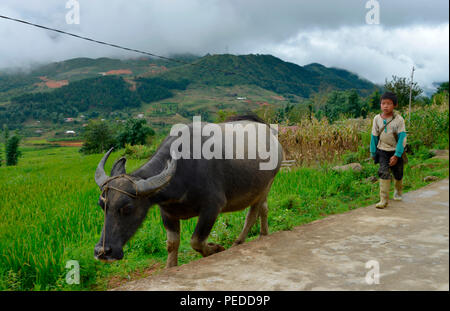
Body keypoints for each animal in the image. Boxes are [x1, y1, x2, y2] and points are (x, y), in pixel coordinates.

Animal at [93, 116, 284, 266]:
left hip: (266, 185)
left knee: (252, 214)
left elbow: (196, 241)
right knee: (264, 209)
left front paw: (216, 248)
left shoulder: (212, 207)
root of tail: (274, 138)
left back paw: (238, 242)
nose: (103, 251)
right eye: (102, 205)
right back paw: (263, 234)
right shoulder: (167, 212)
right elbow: (172, 243)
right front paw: (170, 266)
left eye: (127, 208)